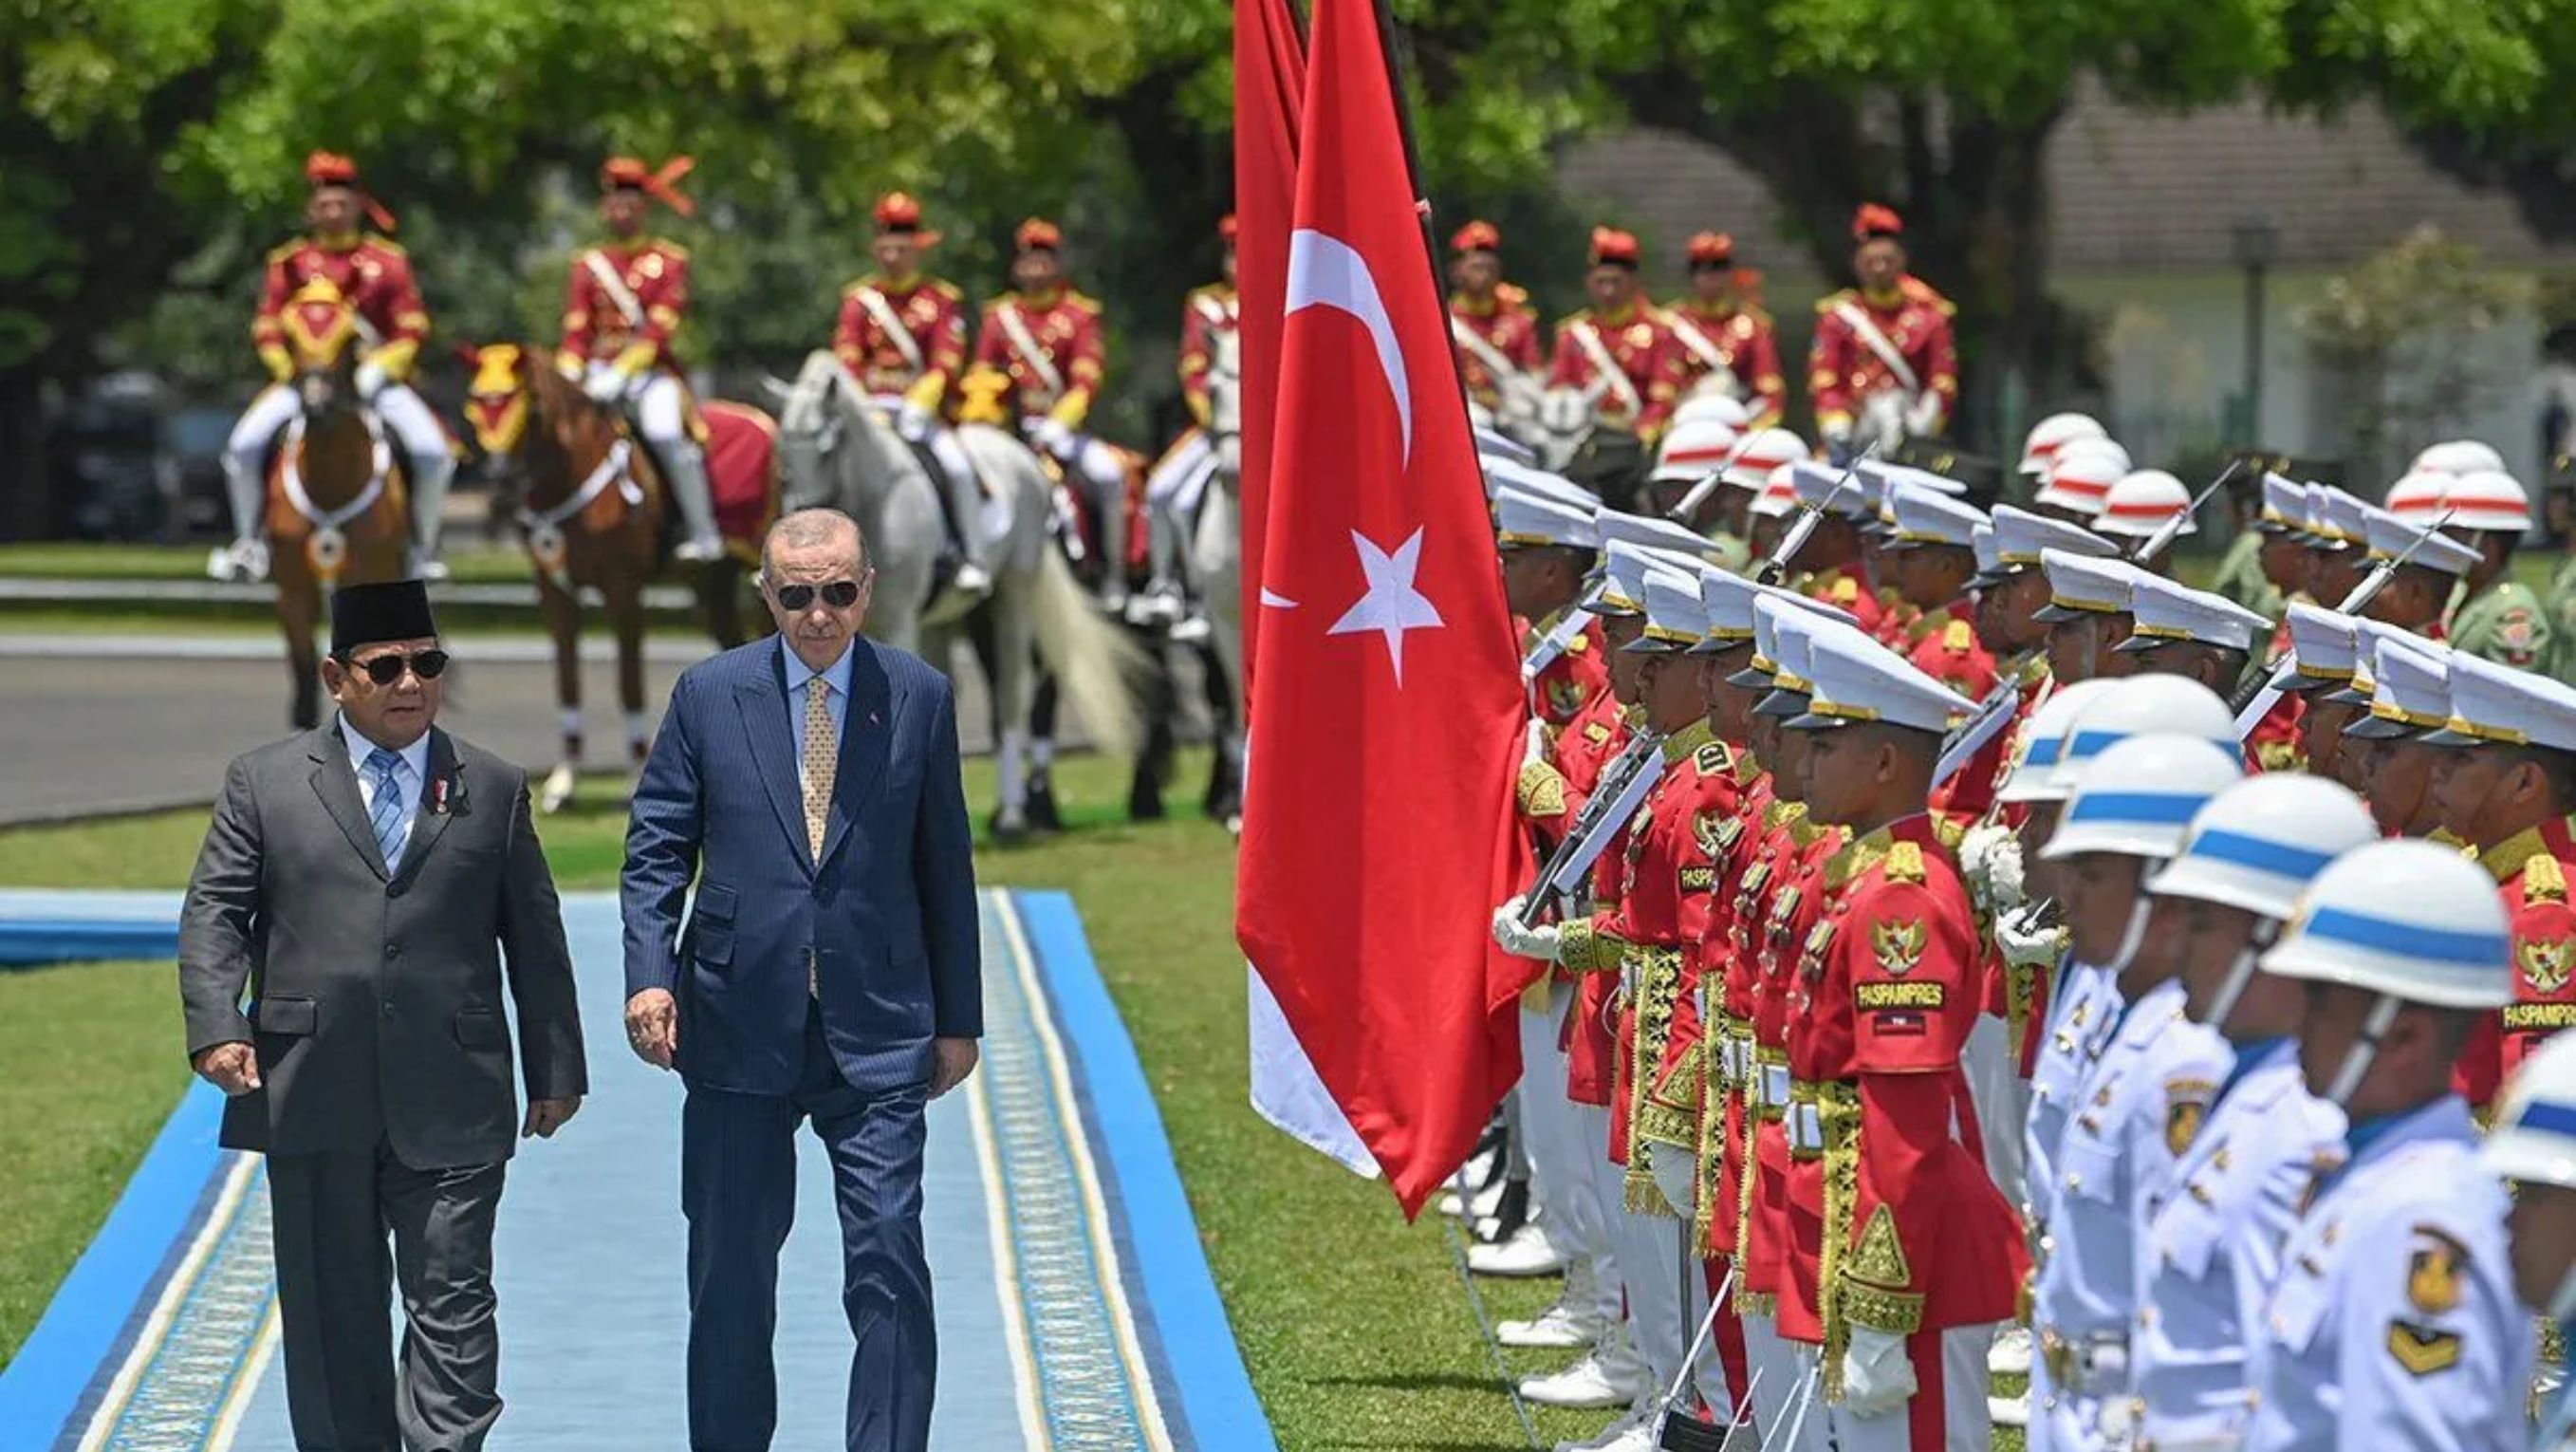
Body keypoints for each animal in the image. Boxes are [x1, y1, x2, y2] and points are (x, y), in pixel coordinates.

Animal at [270, 283, 415, 731]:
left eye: (350, 339)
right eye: (288, 335)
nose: (316, 404)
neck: (329, 486)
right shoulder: (293, 589)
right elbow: (303, 678)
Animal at [463, 344, 768, 813]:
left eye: (529, 407)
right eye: (477, 404)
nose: (499, 485)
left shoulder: (624, 589)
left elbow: (629, 682)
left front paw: (633, 777)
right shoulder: (555, 593)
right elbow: (568, 681)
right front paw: (563, 782)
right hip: (708, 584)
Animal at [768, 344, 1143, 833]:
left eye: (827, 445)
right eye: (782, 451)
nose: (802, 522)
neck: (873, 503)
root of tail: (1024, 458)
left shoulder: (900, 620)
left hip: (1012, 601)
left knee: (1012, 695)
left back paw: (1013, 816)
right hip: (952, 619)